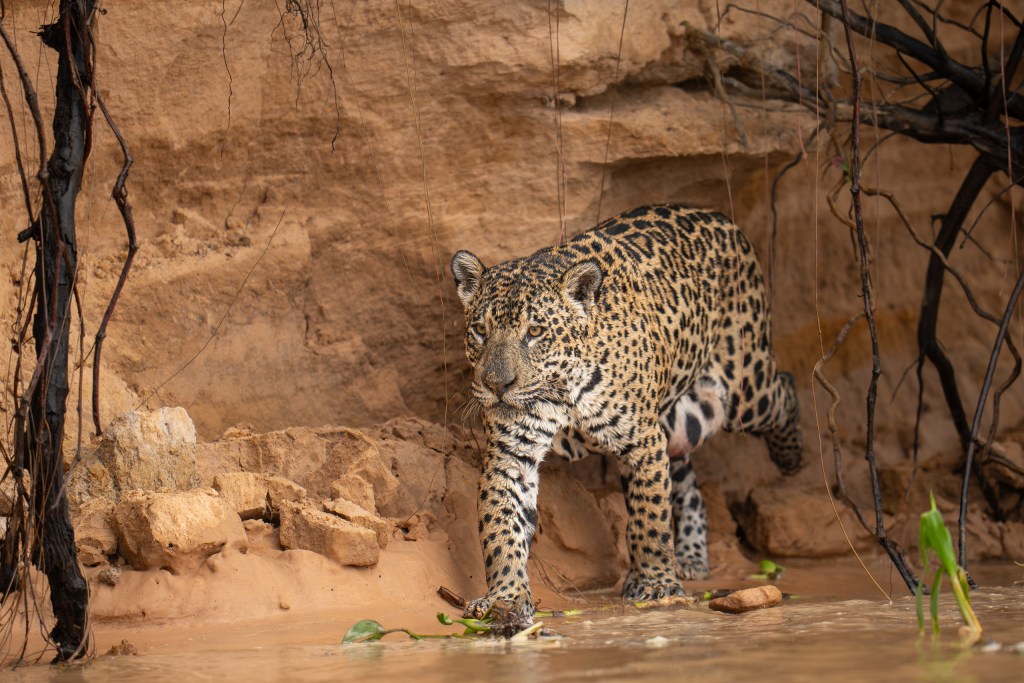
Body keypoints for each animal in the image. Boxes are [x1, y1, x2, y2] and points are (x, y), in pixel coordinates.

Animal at [450, 205, 803, 634]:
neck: (562, 387)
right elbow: (501, 527)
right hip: (683, 419)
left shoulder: (643, 441)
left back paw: (791, 458)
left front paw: (657, 585)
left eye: (534, 331)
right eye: (479, 330)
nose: (497, 385)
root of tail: (722, 218)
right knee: (687, 482)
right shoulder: (511, 454)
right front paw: (506, 597)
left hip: (742, 389)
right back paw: (690, 555)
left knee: (785, 388)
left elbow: (649, 519)